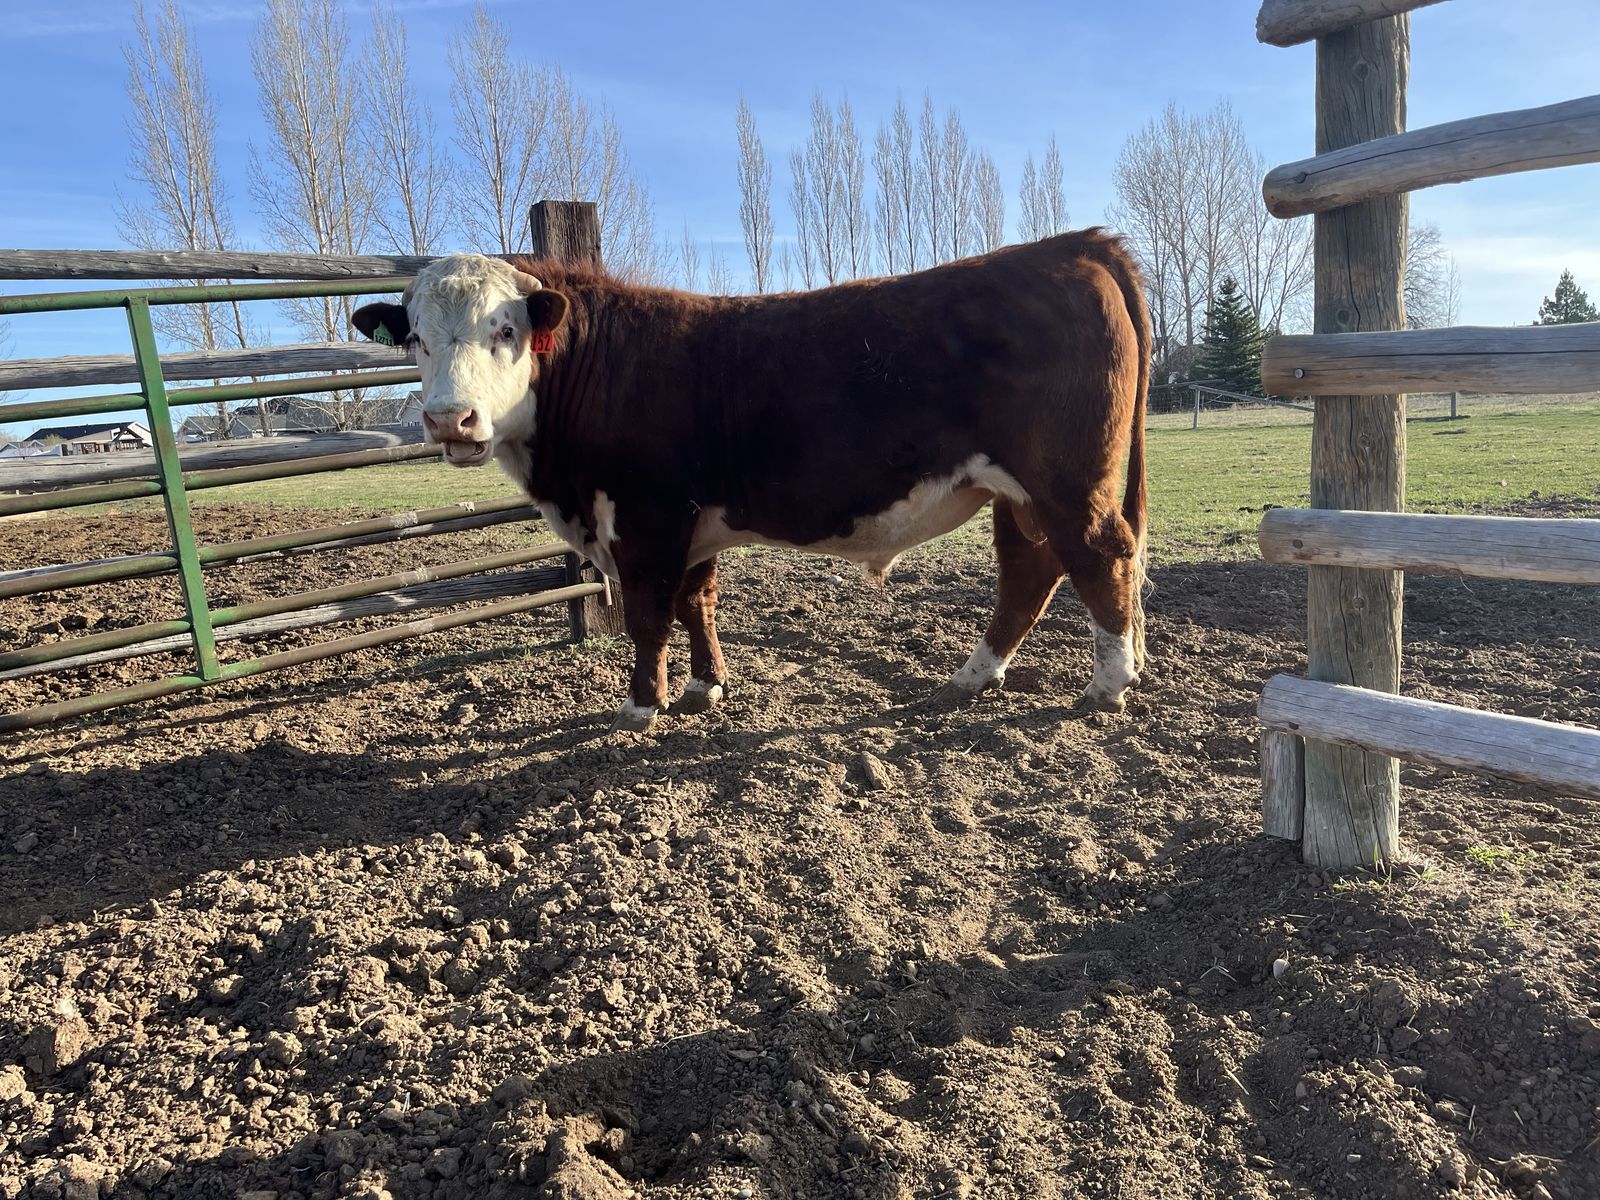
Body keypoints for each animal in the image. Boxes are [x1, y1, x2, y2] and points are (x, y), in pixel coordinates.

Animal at [351, 231, 1150, 733]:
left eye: (506, 330)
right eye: (415, 337)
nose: (450, 420)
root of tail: (1076, 245)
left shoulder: (648, 518)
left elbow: (650, 613)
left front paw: (641, 705)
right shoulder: (693, 522)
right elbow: (696, 602)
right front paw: (704, 686)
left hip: (1064, 481)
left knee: (1100, 556)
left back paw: (1106, 686)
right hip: (1019, 495)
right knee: (1030, 571)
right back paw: (976, 676)